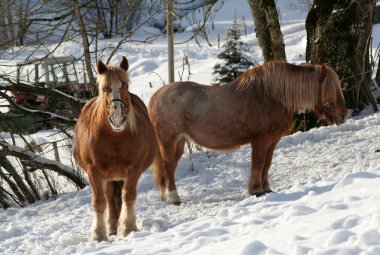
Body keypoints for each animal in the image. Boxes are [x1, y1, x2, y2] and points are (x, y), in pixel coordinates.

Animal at [72, 56, 157, 241]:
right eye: (105, 88)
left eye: (125, 86)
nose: (117, 120)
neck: (115, 138)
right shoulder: (94, 172)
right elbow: (99, 202)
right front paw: (98, 234)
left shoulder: (134, 169)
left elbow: (128, 196)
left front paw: (128, 228)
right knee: (110, 198)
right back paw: (111, 227)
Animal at [148, 61, 348, 205]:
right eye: (330, 89)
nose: (343, 115)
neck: (271, 95)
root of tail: (156, 97)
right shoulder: (260, 140)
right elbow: (258, 163)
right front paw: (256, 190)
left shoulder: (272, 140)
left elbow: (267, 164)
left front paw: (266, 188)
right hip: (168, 140)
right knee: (168, 166)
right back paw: (174, 198)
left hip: (179, 141)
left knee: (169, 167)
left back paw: (167, 197)